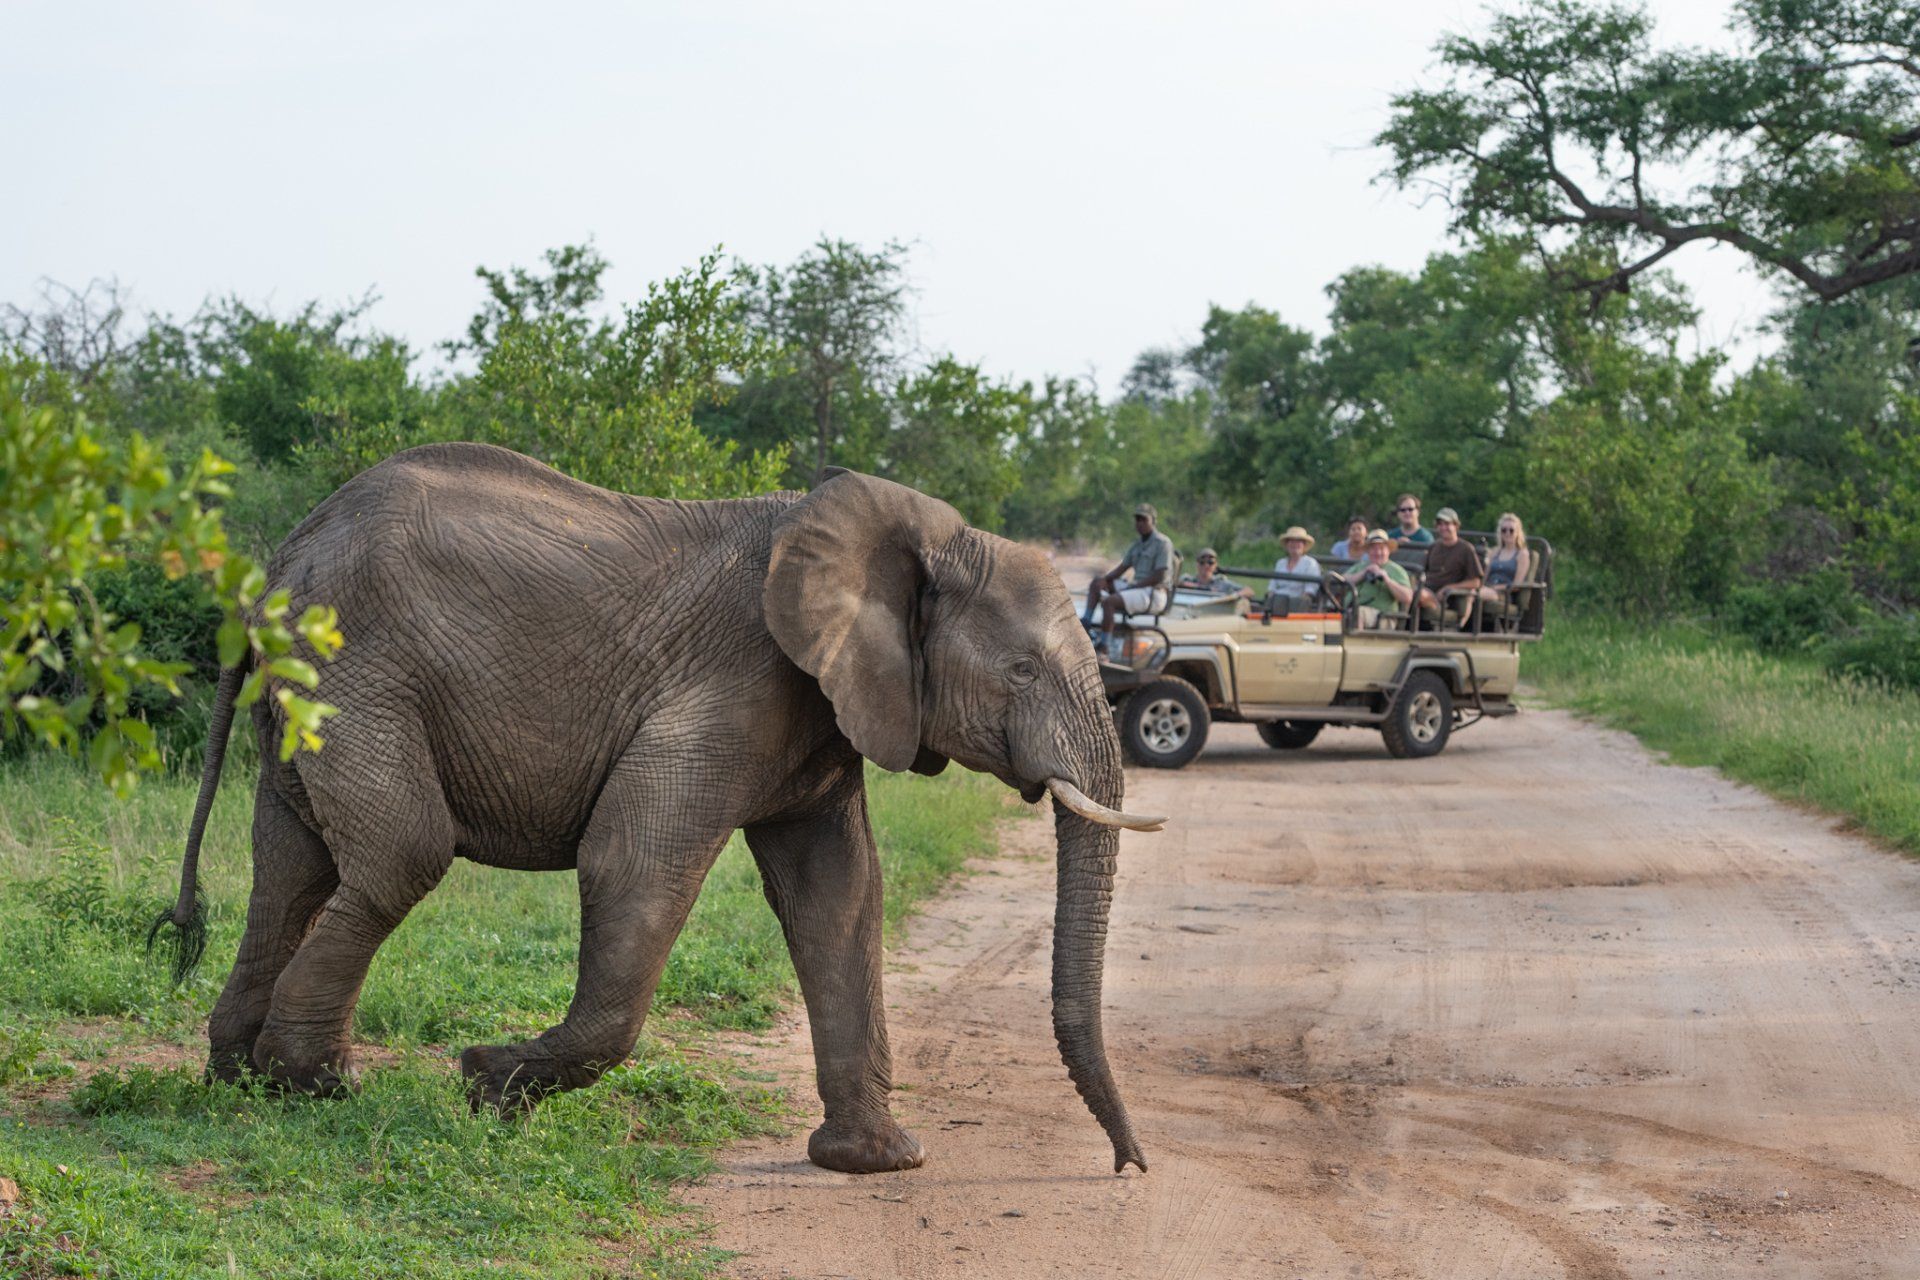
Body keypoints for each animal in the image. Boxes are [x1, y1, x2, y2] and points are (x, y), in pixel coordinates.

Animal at [161, 445, 1152, 1174]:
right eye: (1020, 672)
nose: (1128, 1166)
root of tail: (280, 558)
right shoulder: (742, 676)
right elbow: (636, 862)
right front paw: (485, 1086)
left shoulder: (822, 711)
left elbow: (839, 896)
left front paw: (874, 1164)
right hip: (353, 671)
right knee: (403, 853)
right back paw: (316, 1085)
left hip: (310, 689)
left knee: (290, 867)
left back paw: (238, 1079)